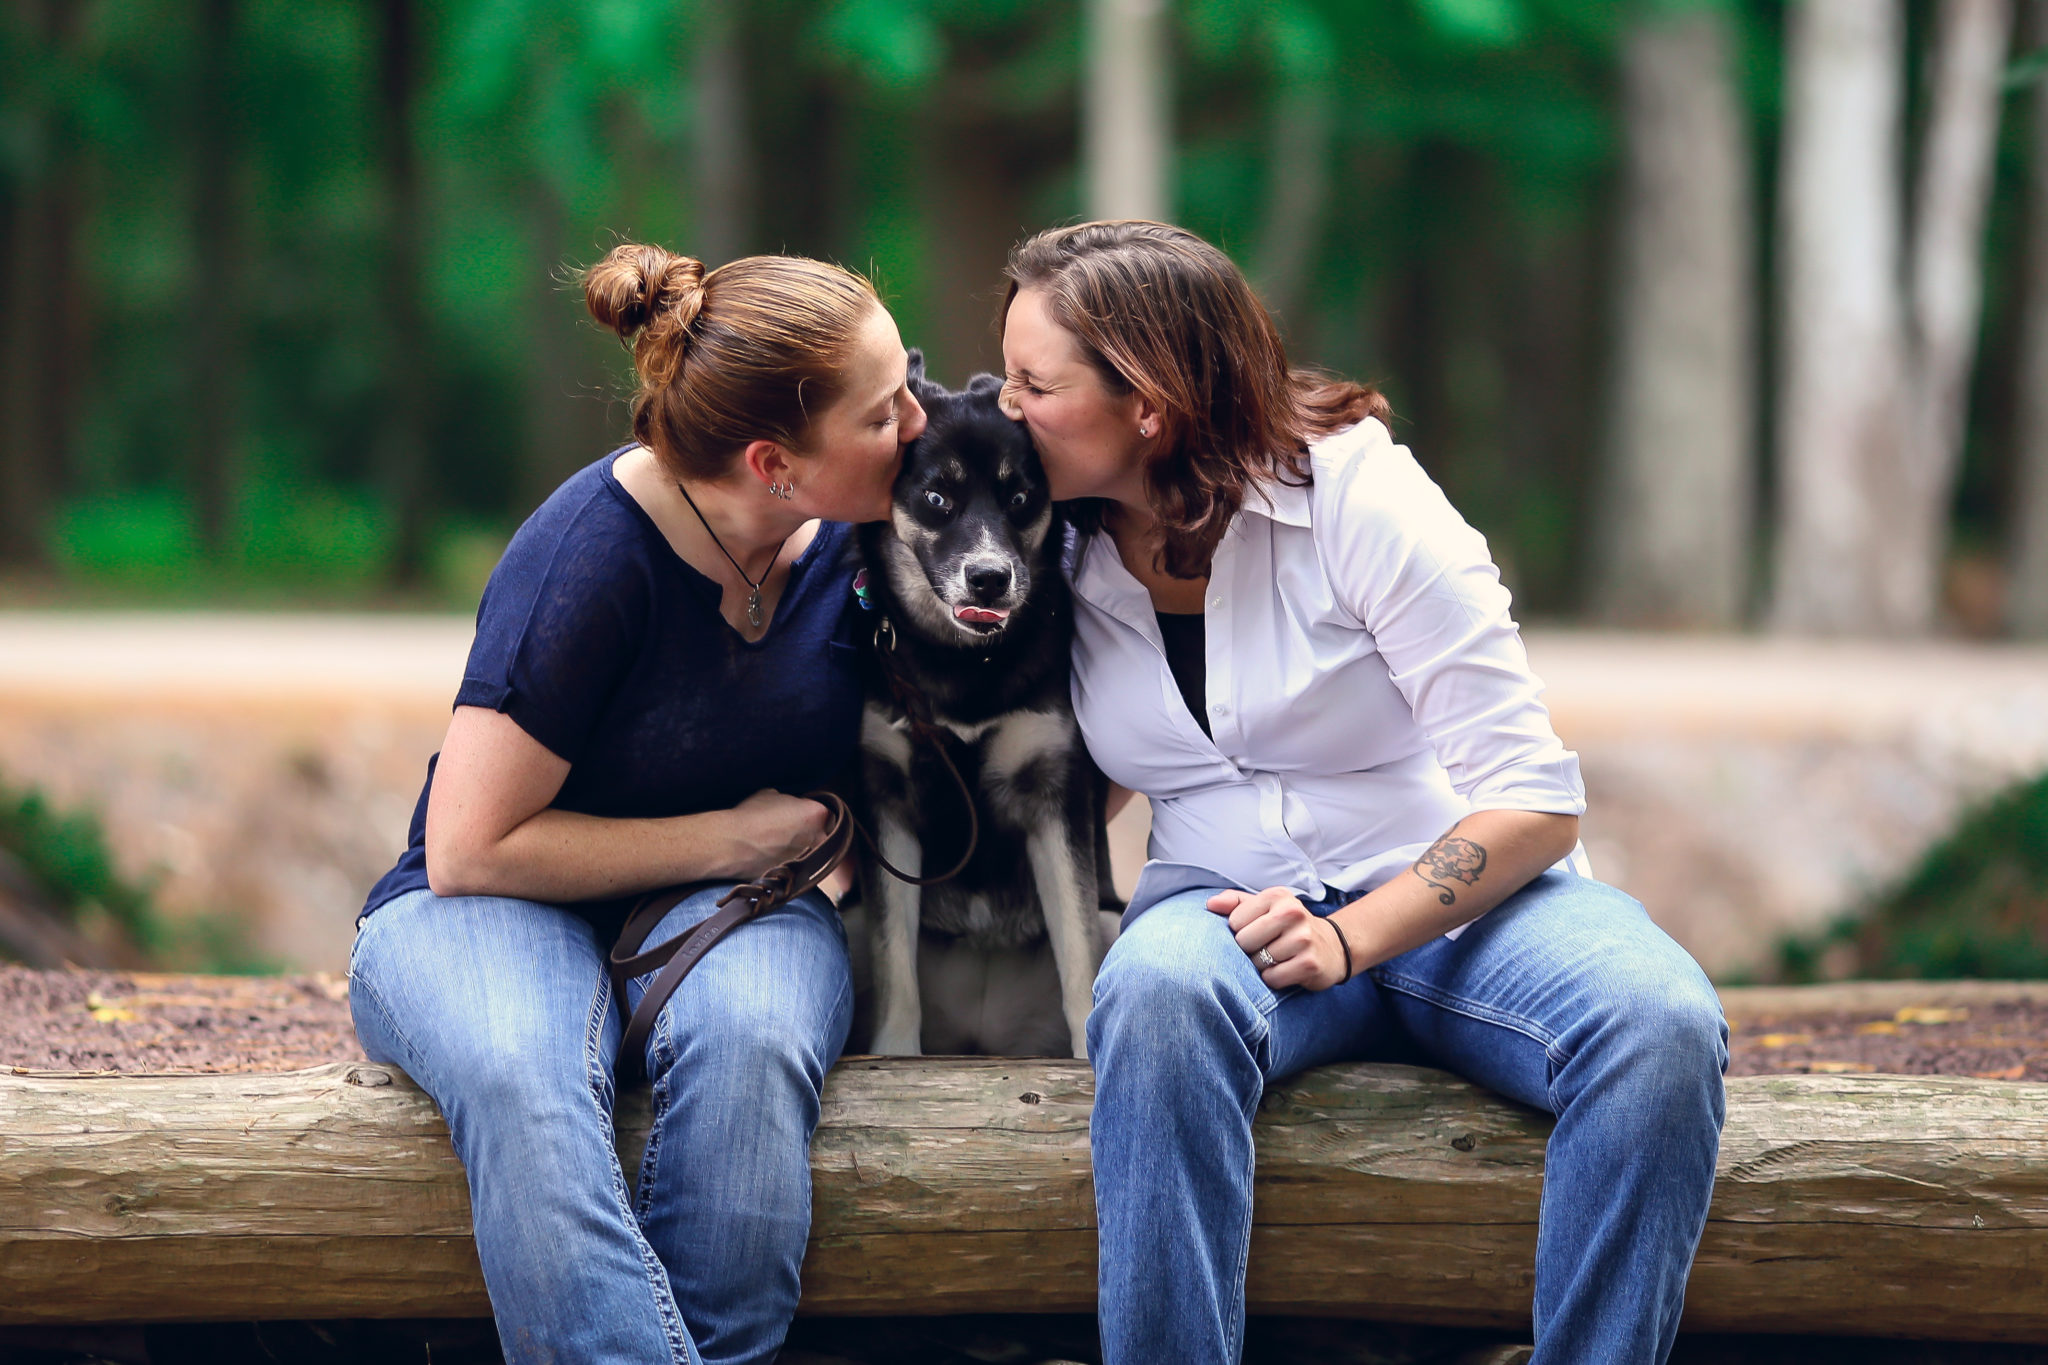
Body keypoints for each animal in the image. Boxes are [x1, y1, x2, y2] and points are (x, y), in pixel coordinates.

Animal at [843, 351, 1114, 1055]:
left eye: (1019, 499)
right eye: (938, 497)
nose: (990, 578)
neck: (965, 663)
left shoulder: (1053, 796)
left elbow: (1080, 961)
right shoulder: (888, 800)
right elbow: (896, 968)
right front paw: (894, 1059)